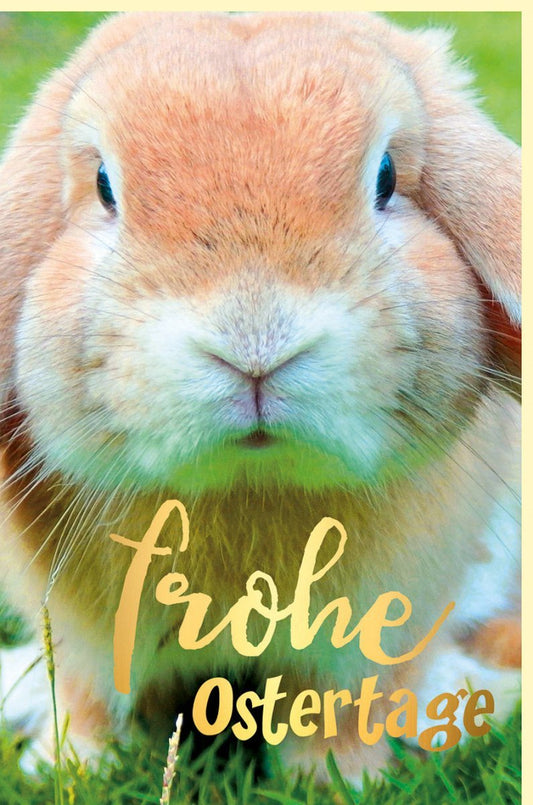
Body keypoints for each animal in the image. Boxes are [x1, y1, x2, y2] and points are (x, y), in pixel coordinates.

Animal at [0, 12, 520, 785]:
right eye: (102, 185)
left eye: (388, 178)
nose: (255, 344)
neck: (249, 483)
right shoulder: (79, 630)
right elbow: (92, 694)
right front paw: (69, 766)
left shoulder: (371, 633)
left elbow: (340, 706)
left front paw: (337, 782)